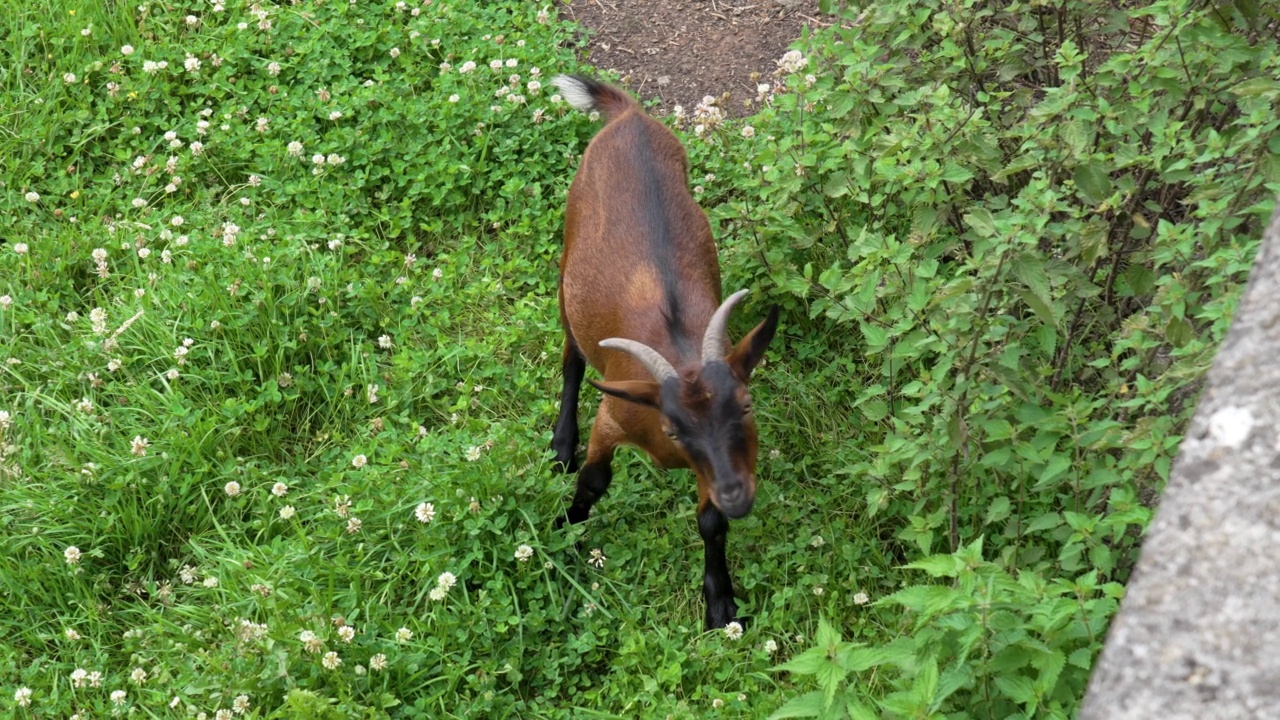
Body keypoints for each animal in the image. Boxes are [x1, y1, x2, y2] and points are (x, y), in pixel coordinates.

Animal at [545, 74, 773, 627]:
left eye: (747, 405)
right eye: (673, 427)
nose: (739, 495)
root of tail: (629, 116)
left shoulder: (712, 470)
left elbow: (711, 522)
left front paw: (720, 603)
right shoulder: (613, 416)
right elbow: (594, 480)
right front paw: (563, 531)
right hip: (566, 265)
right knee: (571, 357)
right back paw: (561, 444)